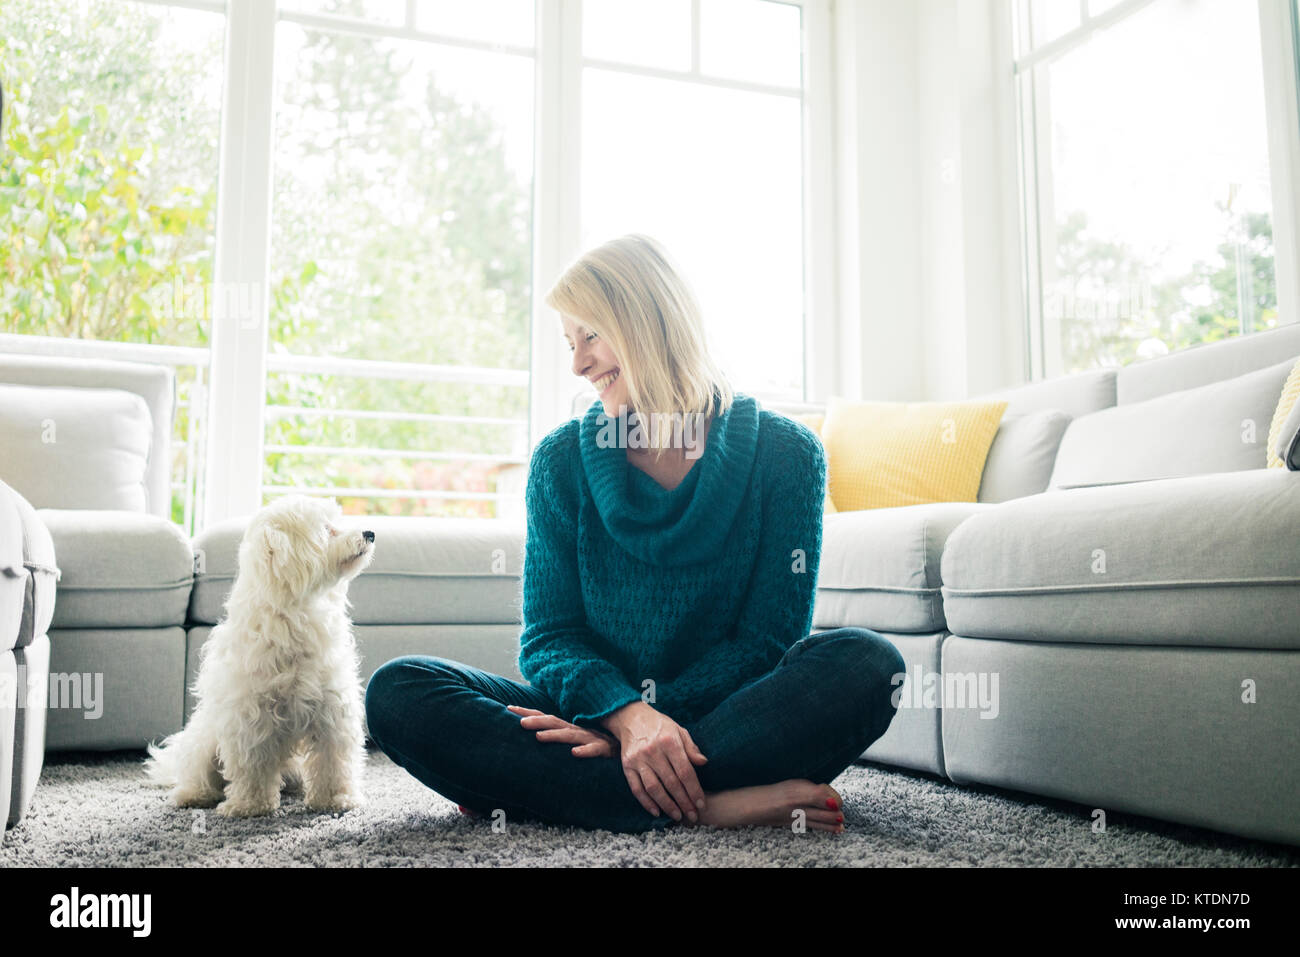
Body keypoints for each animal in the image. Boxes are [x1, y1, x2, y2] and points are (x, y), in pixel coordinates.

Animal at [149, 494, 379, 816]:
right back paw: (192, 795)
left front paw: (336, 799)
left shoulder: (332, 706)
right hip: (204, 741)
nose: (370, 533)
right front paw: (251, 805)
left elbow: (332, 758)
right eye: (326, 529)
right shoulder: (251, 715)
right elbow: (252, 764)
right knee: (198, 772)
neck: (296, 611)